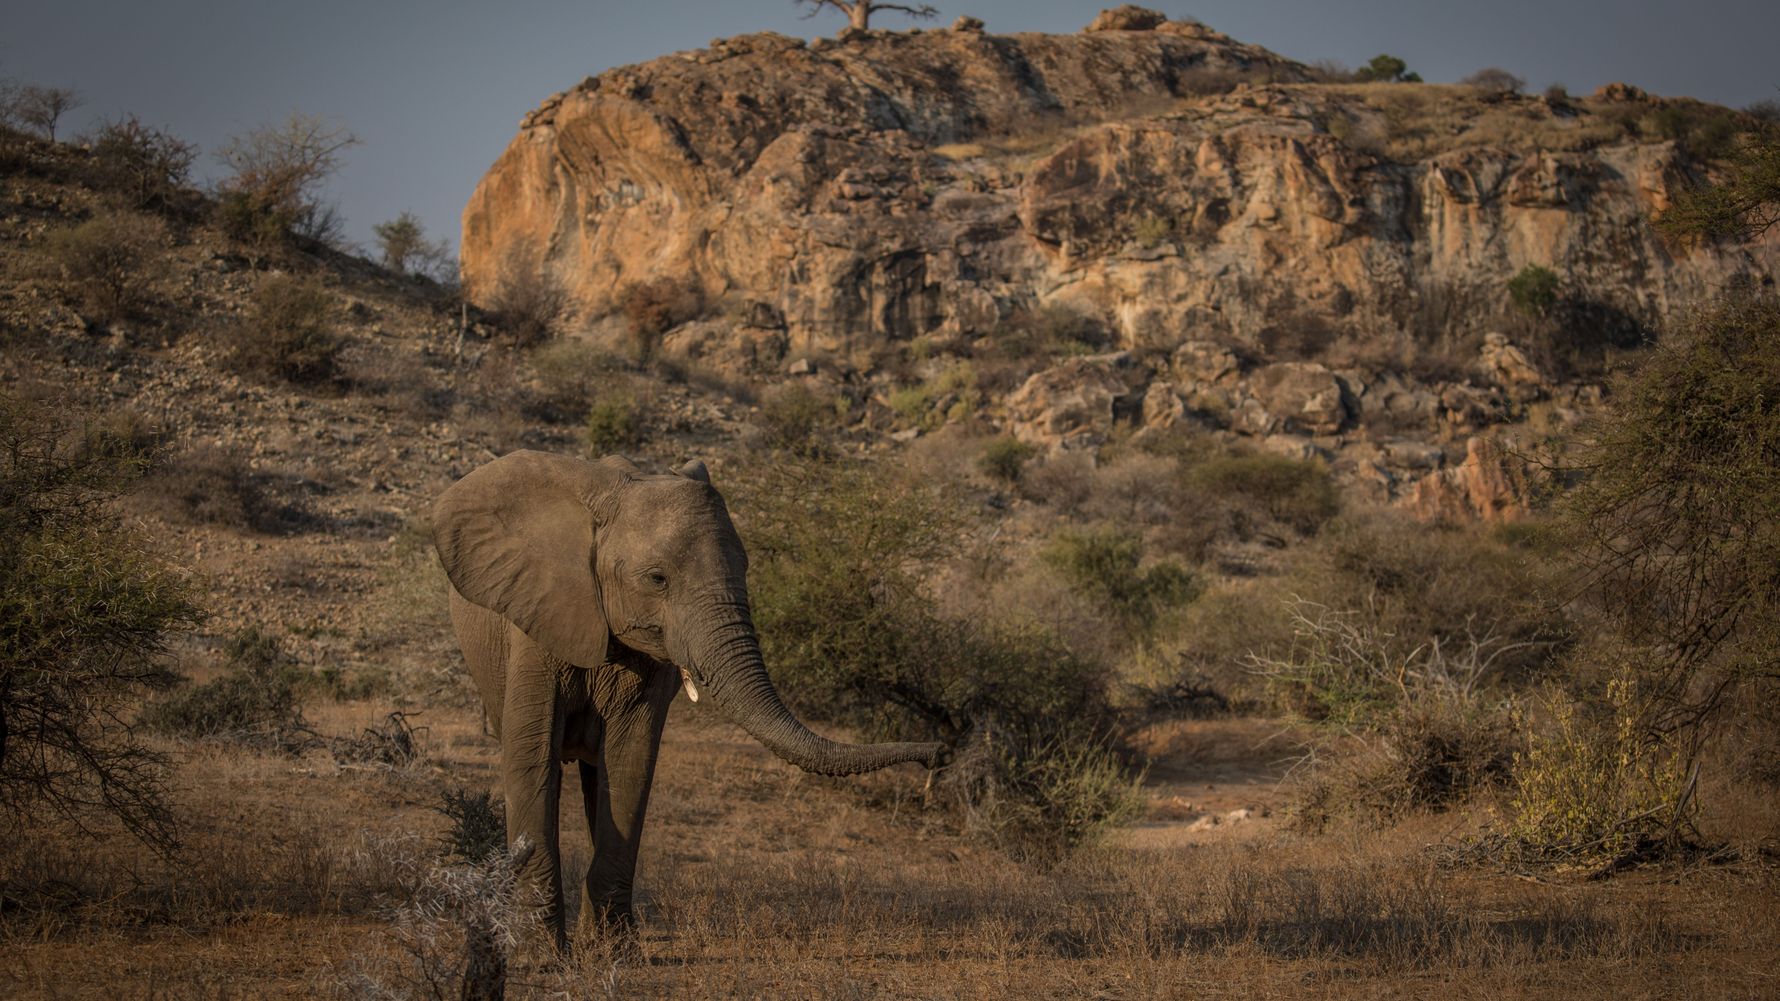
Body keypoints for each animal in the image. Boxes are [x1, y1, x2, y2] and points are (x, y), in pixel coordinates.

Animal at [431, 450, 944, 945]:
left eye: (746, 569)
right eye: (657, 579)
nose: (937, 754)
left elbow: (631, 761)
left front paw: (613, 952)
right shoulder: (536, 626)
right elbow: (532, 757)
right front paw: (538, 954)